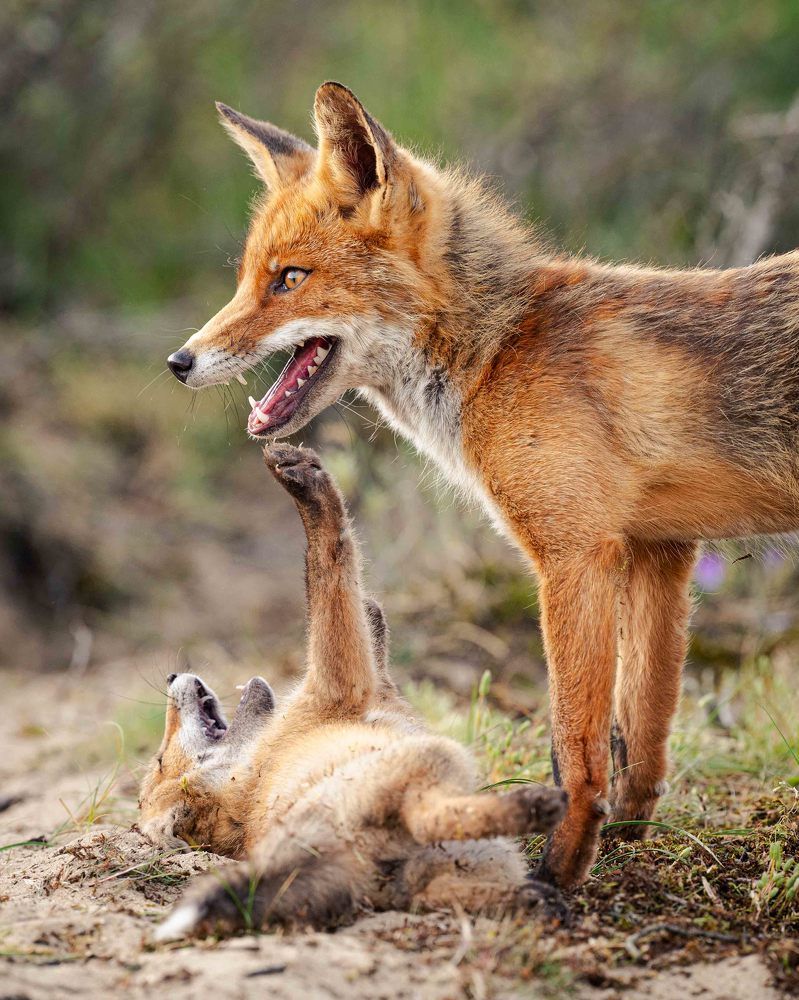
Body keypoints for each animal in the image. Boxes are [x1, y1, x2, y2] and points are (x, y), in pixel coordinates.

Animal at [140, 444, 568, 940]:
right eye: (159, 762)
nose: (171, 676)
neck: (243, 794)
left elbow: (362, 617)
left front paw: (375, 608)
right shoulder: (339, 681)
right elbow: (330, 568)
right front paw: (310, 490)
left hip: (454, 872)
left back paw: (535, 899)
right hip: (435, 762)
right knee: (432, 813)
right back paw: (537, 807)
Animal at [165, 82, 799, 889]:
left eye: (291, 279)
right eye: (249, 276)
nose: (179, 361)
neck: (498, 350)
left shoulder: (572, 554)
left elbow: (577, 747)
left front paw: (560, 871)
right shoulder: (661, 551)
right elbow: (643, 734)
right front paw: (627, 845)